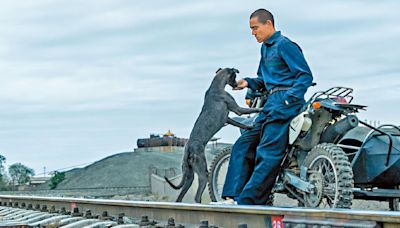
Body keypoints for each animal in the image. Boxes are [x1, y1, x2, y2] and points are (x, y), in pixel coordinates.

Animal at [164, 67, 260, 203]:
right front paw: (262, 109)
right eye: (235, 76)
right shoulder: (237, 110)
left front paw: (250, 126)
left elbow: (240, 124)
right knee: (197, 196)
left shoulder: (227, 118)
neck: (216, 87)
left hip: (189, 175)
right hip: (203, 172)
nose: (237, 84)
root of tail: (189, 148)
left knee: (179, 198)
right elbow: (252, 110)